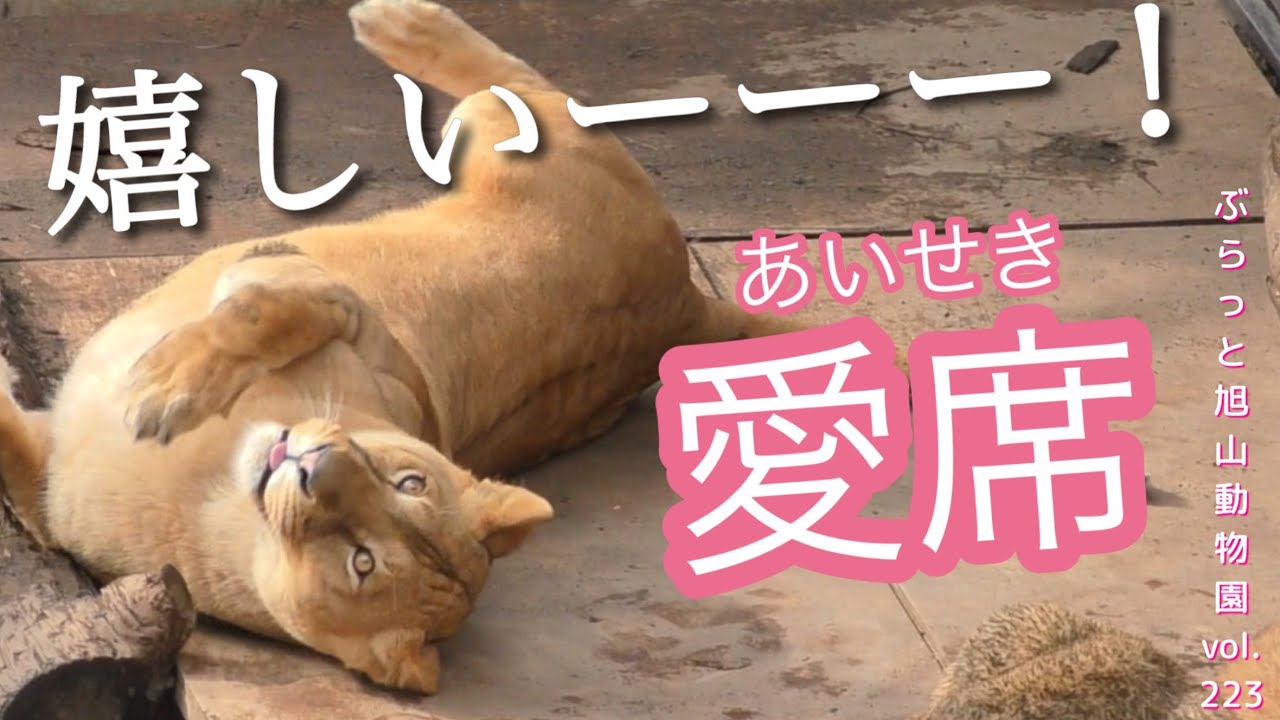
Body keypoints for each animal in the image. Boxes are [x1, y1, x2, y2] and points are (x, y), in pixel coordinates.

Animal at [0, 0, 807, 696]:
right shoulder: (349, 311)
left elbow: (251, 309)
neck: (218, 497)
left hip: (513, 143)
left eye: (363, 562)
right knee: (530, 84)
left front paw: (158, 389)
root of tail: (688, 305)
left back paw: (396, 23)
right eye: (410, 481)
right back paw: (397, 20)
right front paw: (165, 380)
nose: (311, 463)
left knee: (520, 84)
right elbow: (253, 304)